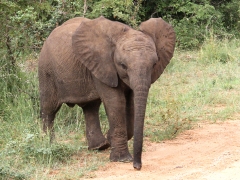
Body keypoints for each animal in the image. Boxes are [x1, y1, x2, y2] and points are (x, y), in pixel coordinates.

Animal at [38, 16, 176, 169]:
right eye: (123, 65)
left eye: (154, 64)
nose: (137, 166)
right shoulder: (103, 64)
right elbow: (116, 101)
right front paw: (122, 159)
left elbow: (130, 102)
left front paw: (110, 138)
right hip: (46, 71)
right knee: (49, 109)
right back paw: (48, 145)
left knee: (90, 107)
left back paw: (100, 146)